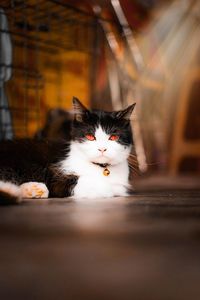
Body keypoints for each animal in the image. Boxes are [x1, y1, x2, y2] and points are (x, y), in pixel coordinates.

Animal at [0, 97, 135, 205]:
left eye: (113, 137)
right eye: (90, 137)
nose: (102, 148)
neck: (102, 168)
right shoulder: (56, 177)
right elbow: (103, 186)